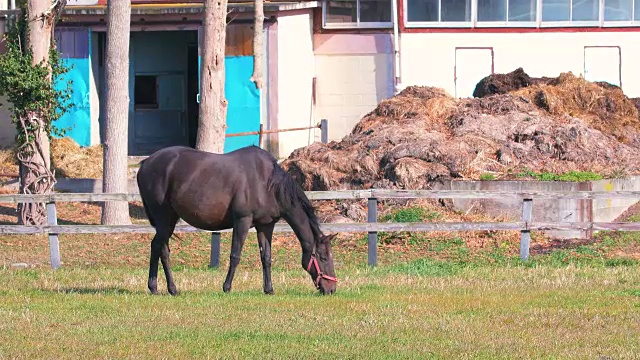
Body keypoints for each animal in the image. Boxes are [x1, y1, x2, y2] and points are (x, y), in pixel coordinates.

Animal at [136, 146, 340, 296]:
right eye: (322, 257)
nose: (331, 289)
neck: (267, 183)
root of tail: (146, 163)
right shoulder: (242, 221)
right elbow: (235, 255)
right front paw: (226, 287)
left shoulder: (265, 225)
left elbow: (266, 257)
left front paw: (269, 289)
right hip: (164, 219)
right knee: (160, 249)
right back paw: (169, 289)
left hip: (169, 220)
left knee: (158, 248)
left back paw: (156, 287)